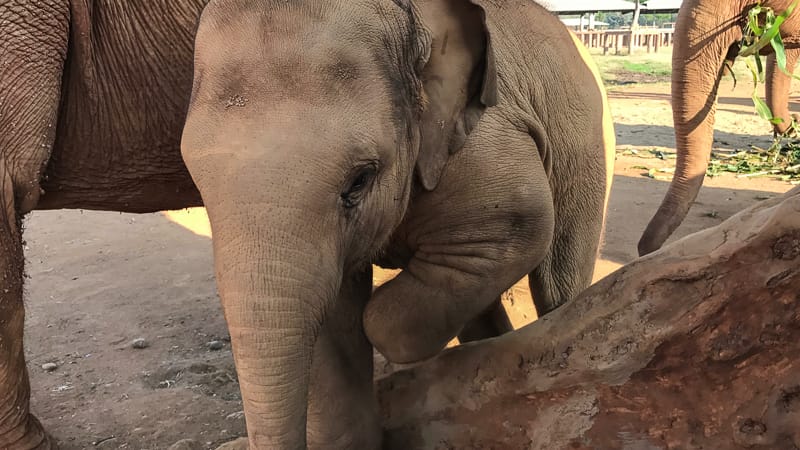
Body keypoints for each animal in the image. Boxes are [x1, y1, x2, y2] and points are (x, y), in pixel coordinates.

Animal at [0, 1, 613, 449]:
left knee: (560, 273)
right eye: (196, 183)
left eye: (359, 181)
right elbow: (328, 324)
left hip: (589, 146)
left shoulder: (480, 143)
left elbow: (521, 223)